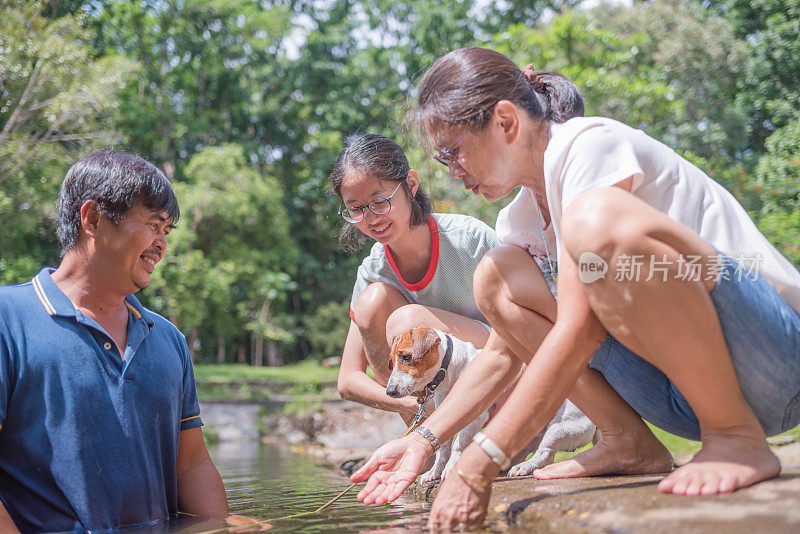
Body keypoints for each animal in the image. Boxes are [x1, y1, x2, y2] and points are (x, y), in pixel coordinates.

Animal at [384, 324, 596, 484]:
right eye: (391, 362)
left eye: (406, 357)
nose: (390, 392)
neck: (451, 370)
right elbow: (442, 448)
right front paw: (435, 471)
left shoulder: (476, 417)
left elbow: (458, 445)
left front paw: (450, 469)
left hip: (560, 427)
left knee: (546, 454)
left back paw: (523, 467)